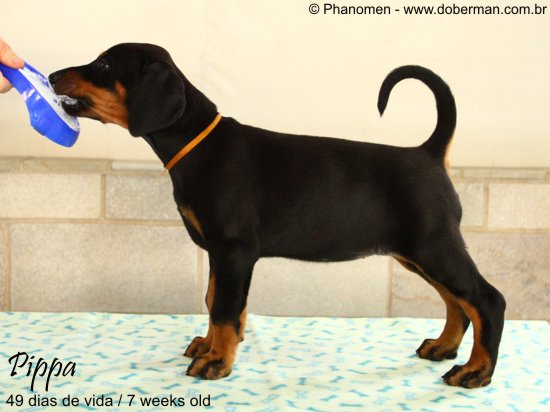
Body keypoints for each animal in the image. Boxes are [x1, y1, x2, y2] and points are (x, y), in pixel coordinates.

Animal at [49, 43, 505, 388]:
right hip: (418, 254)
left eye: (104, 64)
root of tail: (429, 153)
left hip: (432, 245)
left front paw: (217, 362)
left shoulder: (233, 250)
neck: (197, 143)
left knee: (486, 299)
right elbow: (214, 300)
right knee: (457, 302)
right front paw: (210, 347)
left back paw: (475, 371)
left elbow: (225, 308)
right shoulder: (220, 253)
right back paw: (444, 347)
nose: (52, 76)